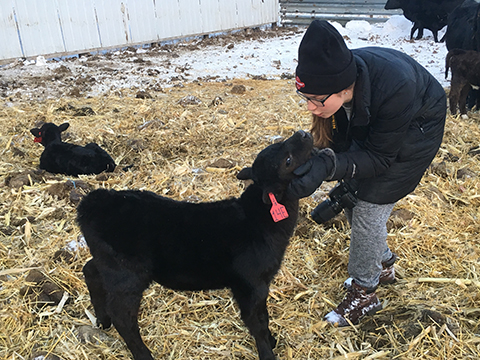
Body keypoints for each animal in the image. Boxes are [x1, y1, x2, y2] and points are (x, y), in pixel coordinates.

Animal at [77, 130, 314, 360]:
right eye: (288, 161)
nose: (303, 134)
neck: (257, 219)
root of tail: (90, 204)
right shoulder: (250, 283)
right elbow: (257, 323)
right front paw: (267, 352)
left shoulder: (261, 282)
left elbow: (263, 318)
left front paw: (273, 341)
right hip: (127, 275)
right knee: (123, 316)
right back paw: (143, 354)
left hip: (109, 262)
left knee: (90, 271)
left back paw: (102, 320)